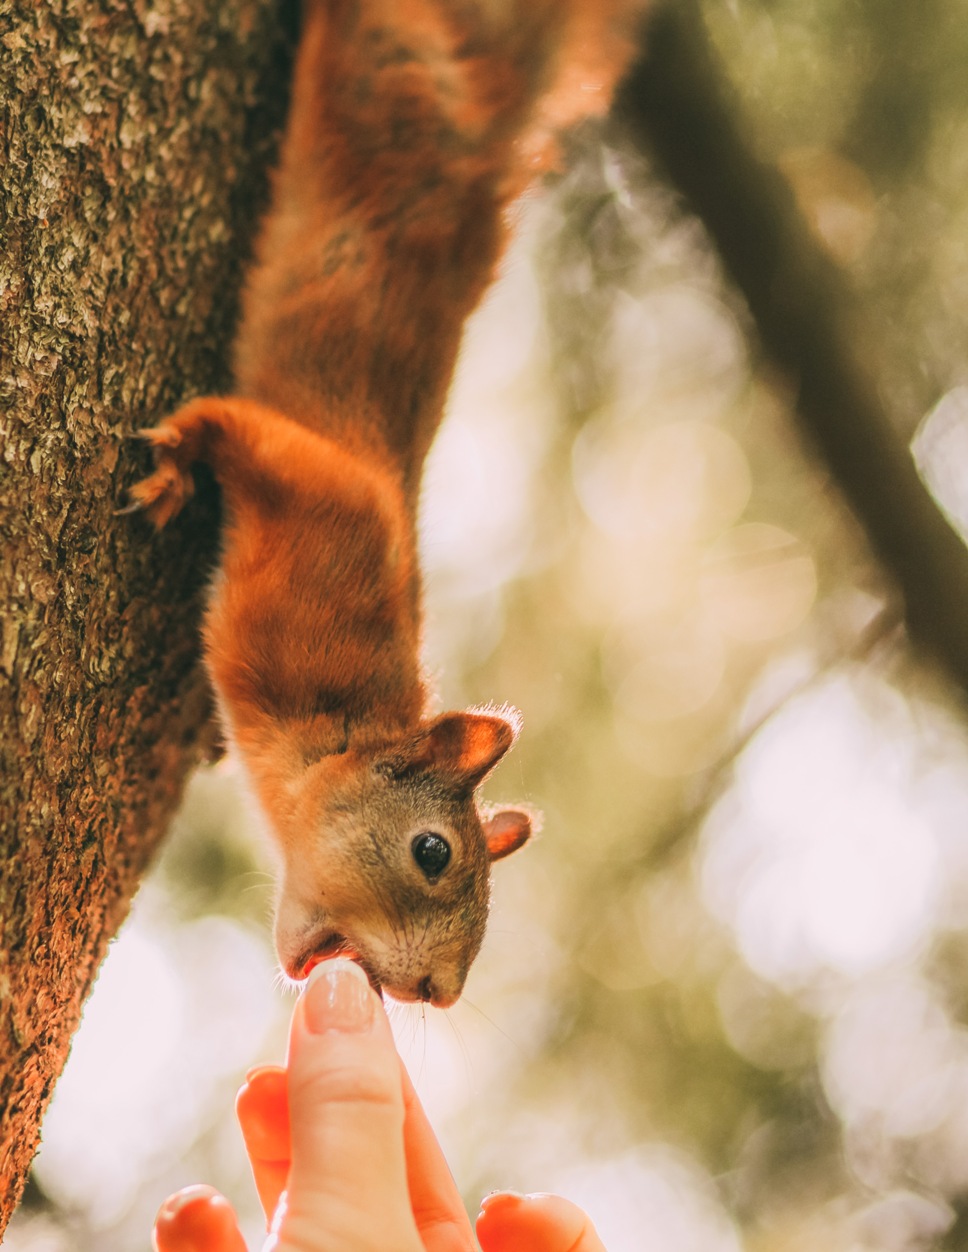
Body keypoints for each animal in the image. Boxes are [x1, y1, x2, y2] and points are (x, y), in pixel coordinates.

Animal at [126, 0, 641, 1001]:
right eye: (433, 851)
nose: (432, 993)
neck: (336, 721)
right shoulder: (328, 494)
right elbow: (236, 428)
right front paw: (177, 456)